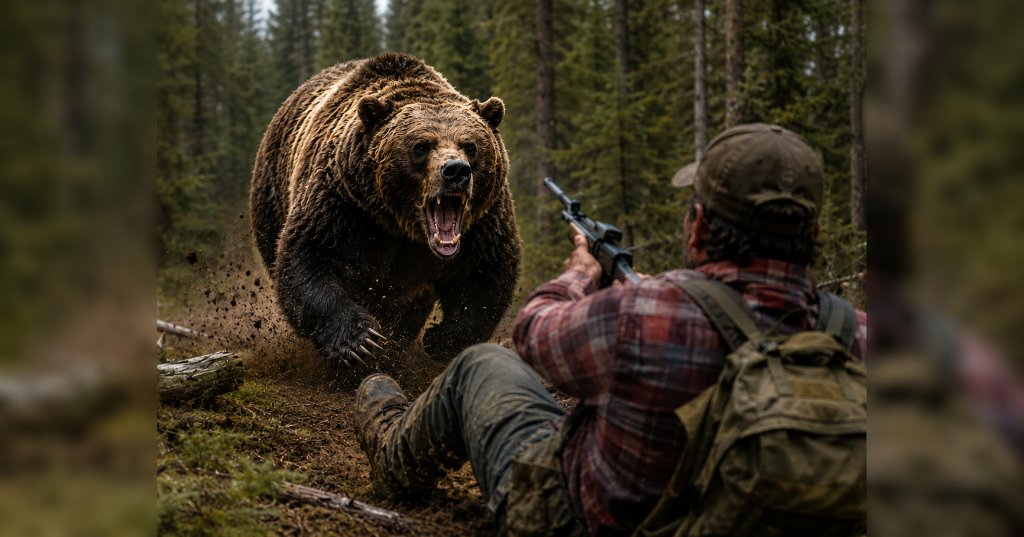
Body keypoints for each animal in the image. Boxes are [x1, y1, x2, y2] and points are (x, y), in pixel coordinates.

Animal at [249, 53, 522, 369]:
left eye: (471, 145)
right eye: (421, 146)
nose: (456, 171)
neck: (401, 224)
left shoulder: (482, 220)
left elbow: (487, 271)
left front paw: (441, 339)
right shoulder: (345, 204)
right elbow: (311, 258)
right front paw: (359, 340)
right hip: (271, 197)